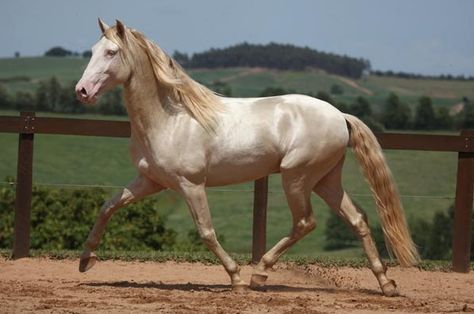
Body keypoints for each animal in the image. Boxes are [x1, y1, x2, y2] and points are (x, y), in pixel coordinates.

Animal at [76, 19, 420, 296]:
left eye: (111, 52)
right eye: (92, 50)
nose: (82, 91)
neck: (169, 119)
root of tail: (340, 117)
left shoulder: (191, 185)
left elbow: (207, 232)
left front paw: (236, 278)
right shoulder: (149, 181)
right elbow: (108, 207)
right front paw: (85, 259)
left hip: (297, 177)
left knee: (305, 222)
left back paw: (259, 274)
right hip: (326, 180)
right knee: (357, 220)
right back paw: (386, 284)